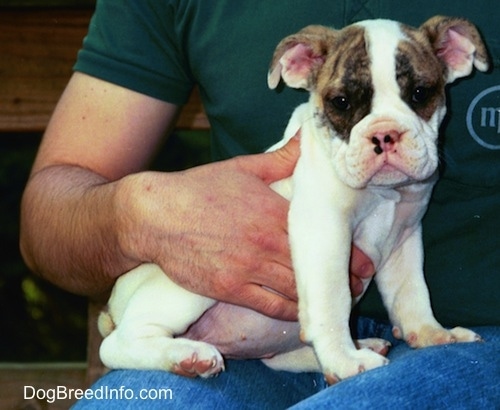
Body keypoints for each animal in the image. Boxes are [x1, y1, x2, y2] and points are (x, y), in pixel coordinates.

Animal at [97, 15, 488, 382]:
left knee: (279, 358)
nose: (385, 135)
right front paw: (345, 361)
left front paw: (432, 334)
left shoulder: (404, 238)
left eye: (421, 93)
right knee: (117, 344)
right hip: (191, 284)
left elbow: (412, 293)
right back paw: (185, 356)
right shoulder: (325, 231)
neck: (384, 192)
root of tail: (111, 308)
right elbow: (333, 300)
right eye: (341, 102)